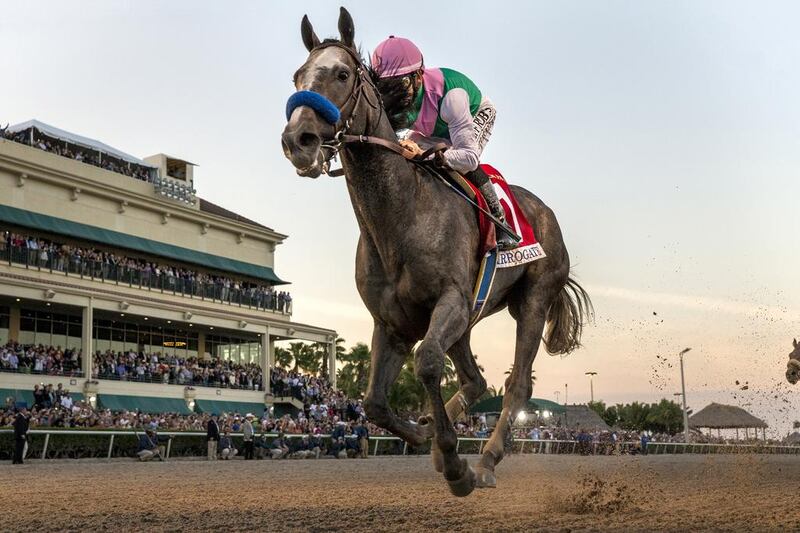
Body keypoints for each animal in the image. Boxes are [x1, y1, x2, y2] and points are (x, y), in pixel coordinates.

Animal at [280, 7, 588, 494]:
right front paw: (427, 434)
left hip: (532, 301)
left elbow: (426, 363)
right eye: (297, 76)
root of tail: (547, 214)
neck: (401, 217)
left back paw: (485, 461)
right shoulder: (393, 322)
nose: (298, 140)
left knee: (517, 384)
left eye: (343, 74)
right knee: (477, 380)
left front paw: (456, 464)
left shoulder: (451, 301)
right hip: (470, 317)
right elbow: (374, 403)